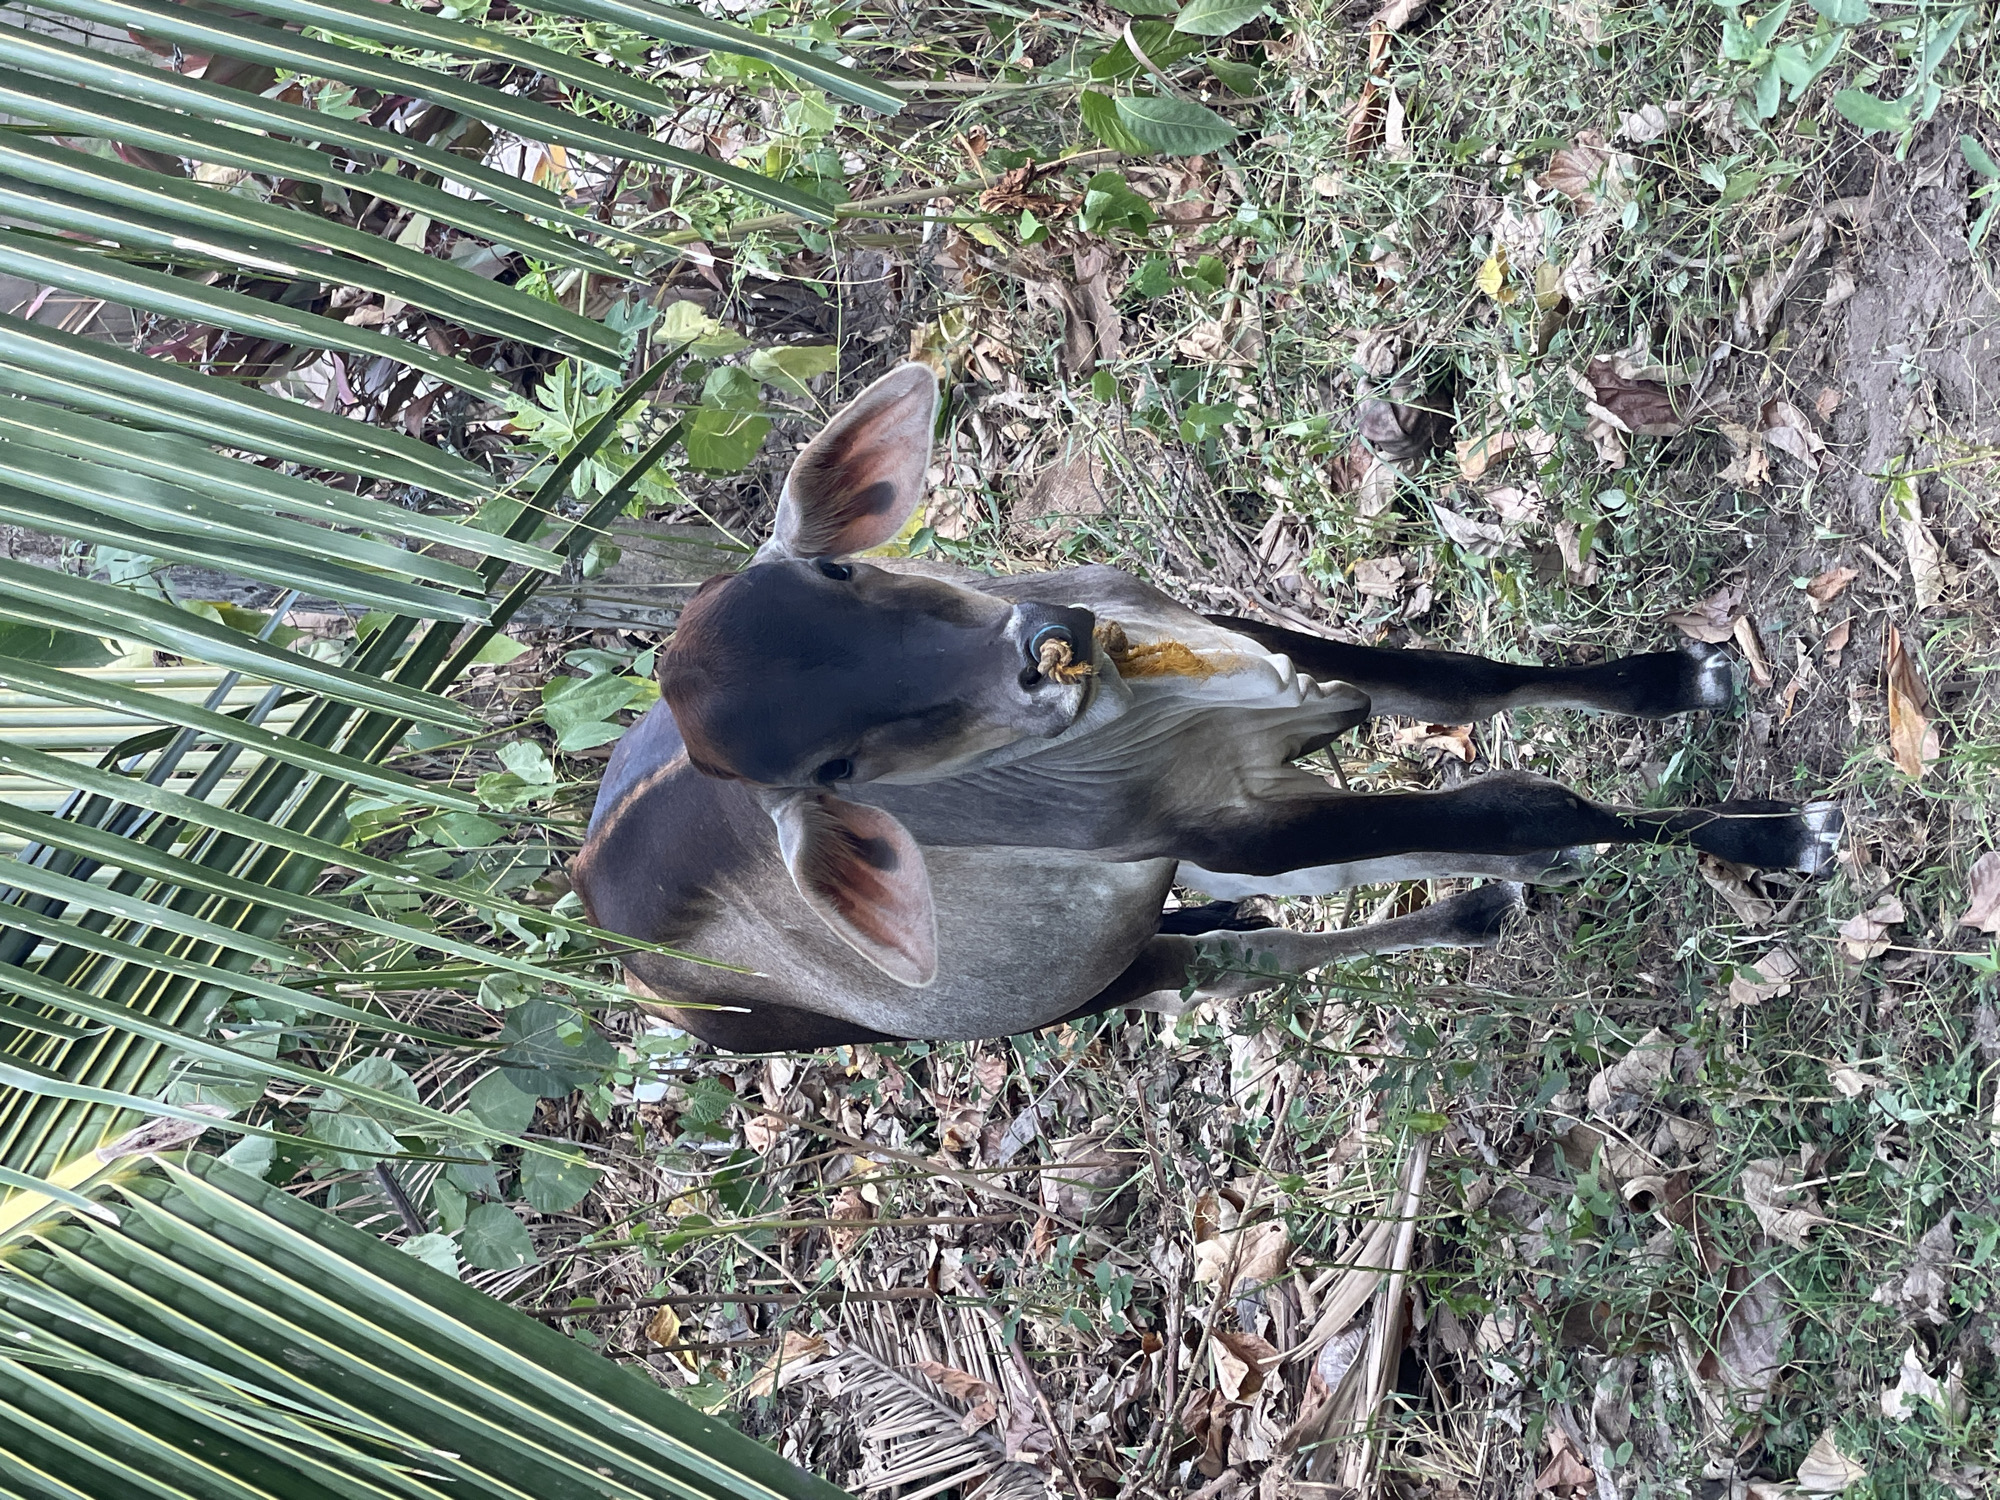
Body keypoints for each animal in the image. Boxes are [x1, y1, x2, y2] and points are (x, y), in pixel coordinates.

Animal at [572, 364, 1839, 1051]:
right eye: (832, 769)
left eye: (840, 571)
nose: (1041, 649)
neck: (1142, 708)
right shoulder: (1222, 821)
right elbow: (1516, 802)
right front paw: (1778, 835)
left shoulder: (1258, 660)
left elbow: (1461, 682)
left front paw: (1678, 678)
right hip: (1081, 983)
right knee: (1242, 960)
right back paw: (1480, 903)